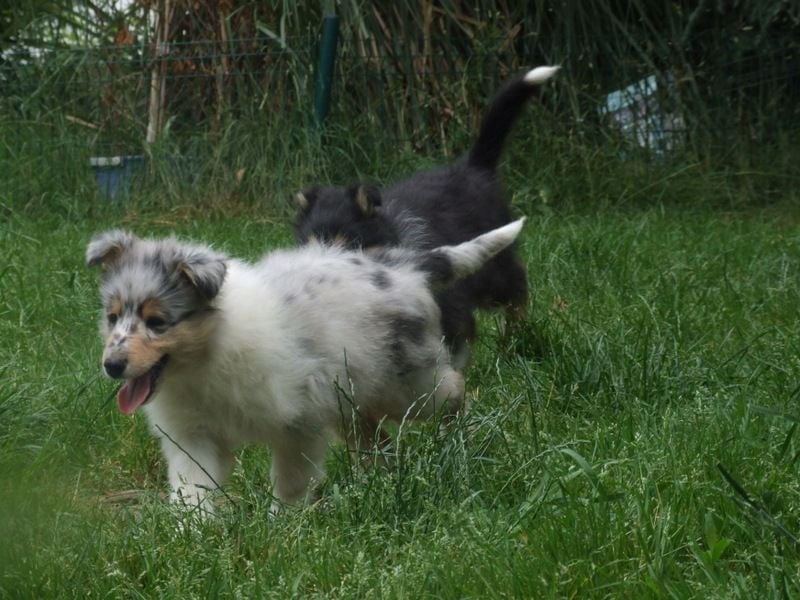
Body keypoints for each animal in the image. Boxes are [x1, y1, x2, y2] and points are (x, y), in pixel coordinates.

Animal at [86, 218, 524, 512]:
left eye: (157, 322)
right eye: (112, 317)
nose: (112, 365)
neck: (207, 355)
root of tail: (400, 265)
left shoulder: (299, 423)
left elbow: (292, 481)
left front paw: (281, 524)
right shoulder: (193, 435)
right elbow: (191, 488)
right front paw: (190, 537)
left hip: (408, 385)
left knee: (453, 386)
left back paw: (457, 437)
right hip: (352, 396)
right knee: (376, 438)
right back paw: (378, 482)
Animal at [290, 65, 560, 366]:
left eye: (347, 247)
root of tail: (473, 168)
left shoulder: (451, 308)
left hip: (492, 271)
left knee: (516, 285)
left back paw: (516, 338)